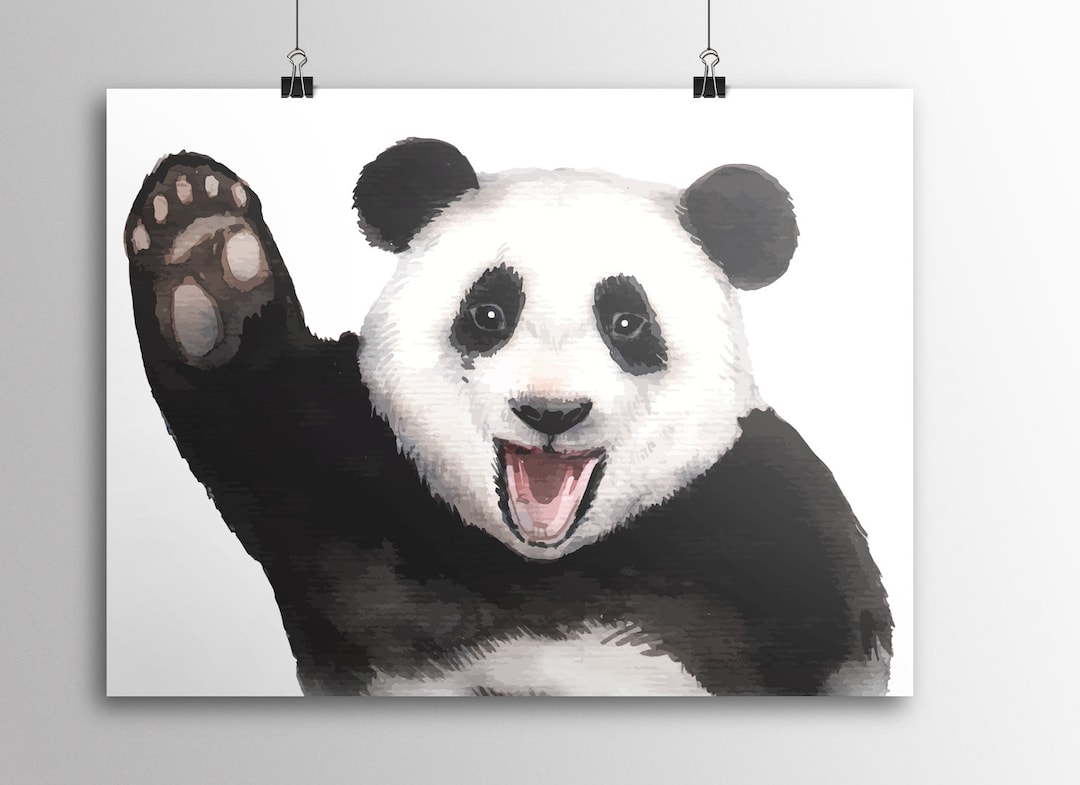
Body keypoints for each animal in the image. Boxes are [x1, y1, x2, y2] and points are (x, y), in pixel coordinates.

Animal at [124, 138, 892, 696]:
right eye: (488, 313)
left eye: (628, 321)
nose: (550, 411)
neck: (543, 567)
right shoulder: (365, 493)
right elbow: (261, 431)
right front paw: (202, 256)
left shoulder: (774, 528)